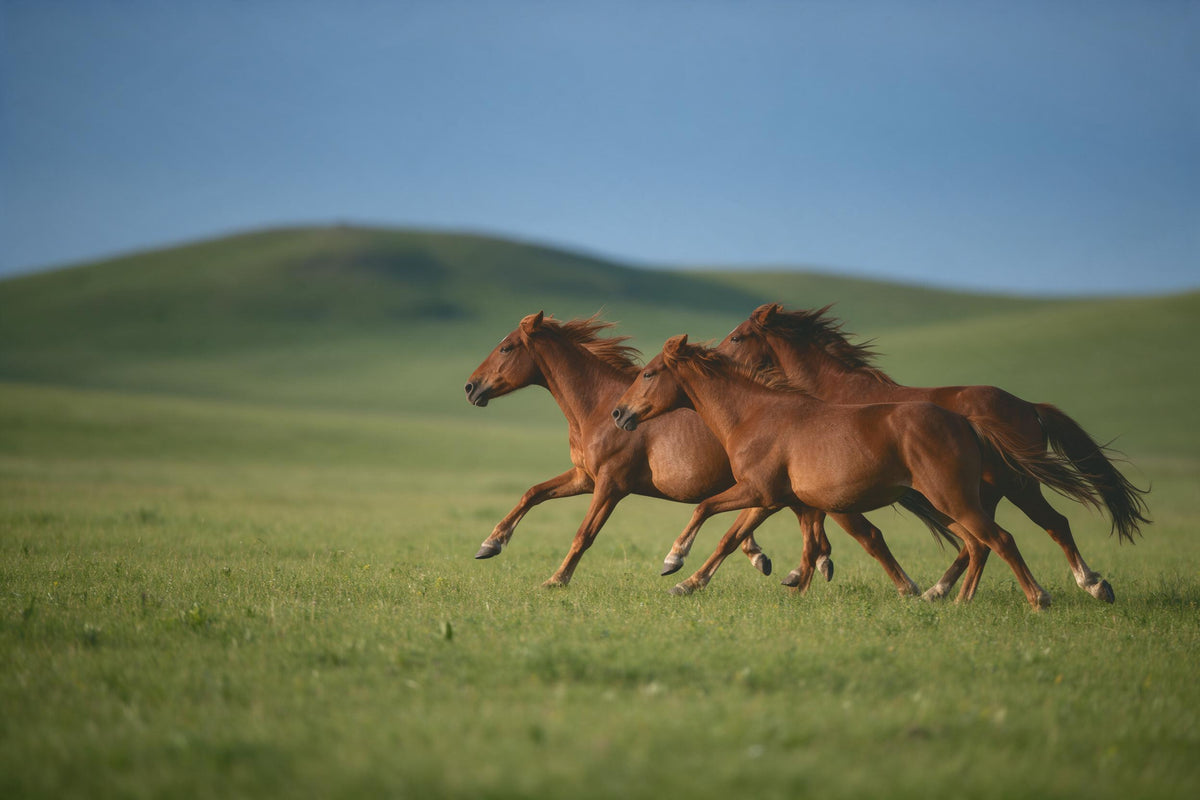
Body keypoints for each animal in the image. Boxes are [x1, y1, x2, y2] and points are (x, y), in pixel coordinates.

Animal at [465, 312, 921, 595]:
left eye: (506, 347)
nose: (470, 387)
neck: (600, 406)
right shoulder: (584, 478)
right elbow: (532, 493)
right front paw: (490, 544)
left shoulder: (610, 485)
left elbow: (584, 534)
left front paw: (555, 580)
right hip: (794, 494)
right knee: (817, 533)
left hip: (824, 496)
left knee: (865, 535)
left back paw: (909, 587)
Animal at [611, 335, 1104, 609]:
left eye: (649, 374)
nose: (618, 413)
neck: (755, 415)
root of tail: (966, 422)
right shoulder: (774, 499)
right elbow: (736, 540)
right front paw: (691, 584)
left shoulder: (758, 492)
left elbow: (706, 511)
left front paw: (673, 562)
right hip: (952, 502)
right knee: (978, 543)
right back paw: (957, 600)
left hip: (956, 497)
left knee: (1002, 538)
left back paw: (1045, 597)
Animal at [716, 303, 1150, 602]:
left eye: (737, 337)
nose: (714, 355)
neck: (831, 394)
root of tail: (1029, 406)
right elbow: (807, 521)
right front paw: (805, 566)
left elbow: (823, 524)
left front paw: (791, 568)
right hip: (981, 491)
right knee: (980, 541)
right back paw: (941, 592)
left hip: (1012, 484)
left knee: (1045, 526)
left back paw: (1092, 585)